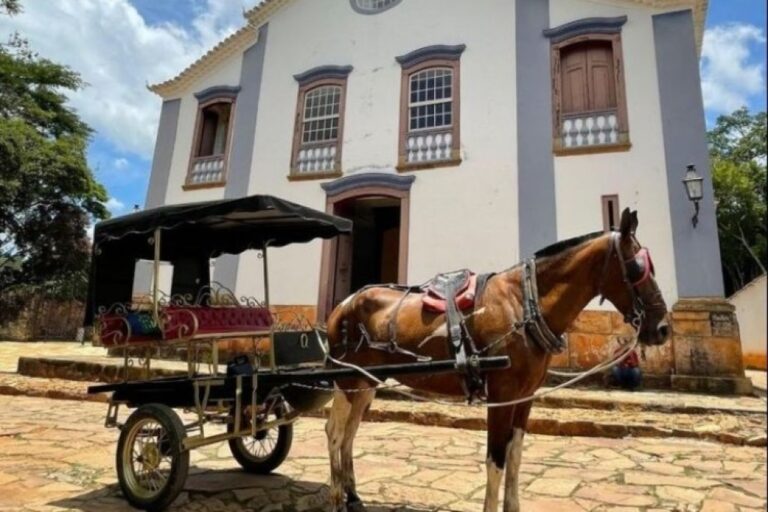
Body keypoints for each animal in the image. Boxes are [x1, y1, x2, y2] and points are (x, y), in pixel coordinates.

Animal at [322, 209, 664, 512]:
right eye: (637, 267)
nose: (661, 328)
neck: (523, 305)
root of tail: (343, 304)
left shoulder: (526, 397)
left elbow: (515, 456)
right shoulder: (502, 395)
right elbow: (496, 459)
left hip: (366, 383)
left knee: (350, 433)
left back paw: (353, 496)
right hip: (346, 380)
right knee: (335, 431)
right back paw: (337, 498)